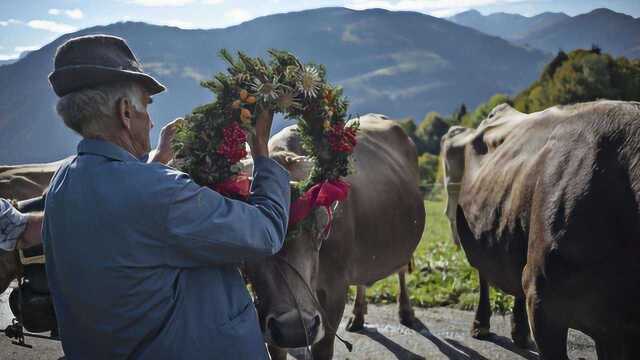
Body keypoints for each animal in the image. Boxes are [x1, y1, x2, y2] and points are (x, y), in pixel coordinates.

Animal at [245, 114, 424, 358]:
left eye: (321, 227)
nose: (293, 329)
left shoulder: (335, 290)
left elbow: (323, 347)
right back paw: (358, 316)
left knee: (402, 270)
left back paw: (406, 312)